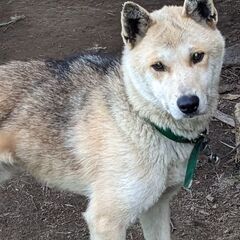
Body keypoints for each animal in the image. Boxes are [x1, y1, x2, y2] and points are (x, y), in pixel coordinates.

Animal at [0, 0, 225, 239]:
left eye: (197, 56)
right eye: (158, 66)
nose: (188, 104)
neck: (140, 117)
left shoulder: (156, 207)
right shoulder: (105, 221)